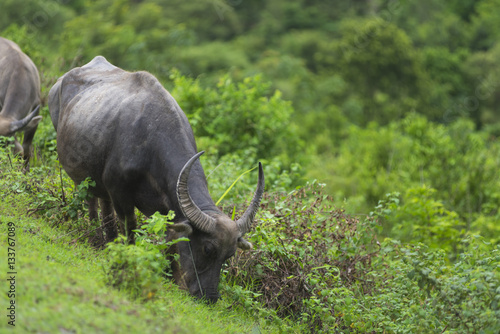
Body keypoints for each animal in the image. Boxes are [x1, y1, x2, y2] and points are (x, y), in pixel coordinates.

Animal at [49, 56, 266, 302]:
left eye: (229, 255)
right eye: (208, 249)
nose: (209, 297)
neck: (149, 142)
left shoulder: (168, 207)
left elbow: (171, 239)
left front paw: (171, 275)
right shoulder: (121, 194)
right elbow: (131, 227)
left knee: (103, 205)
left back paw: (109, 242)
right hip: (84, 176)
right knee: (92, 201)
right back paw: (97, 239)